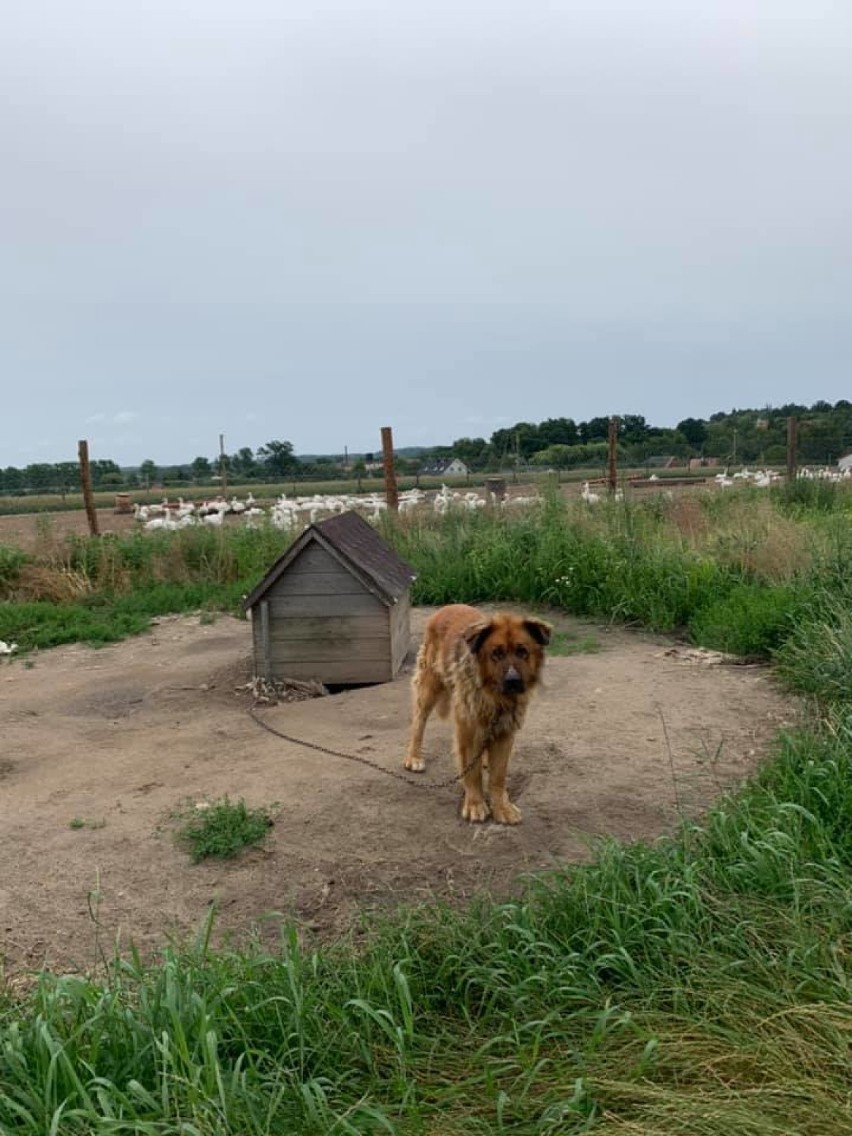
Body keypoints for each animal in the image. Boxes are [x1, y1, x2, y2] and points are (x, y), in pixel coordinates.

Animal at [404, 604, 554, 827]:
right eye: (496, 654)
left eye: (522, 652)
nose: (513, 681)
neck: (496, 698)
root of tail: (447, 607)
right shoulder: (468, 731)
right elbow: (472, 774)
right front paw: (475, 804)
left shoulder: (505, 732)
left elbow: (498, 776)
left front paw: (502, 807)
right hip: (429, 686)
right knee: (418, 722)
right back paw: (414, 757)